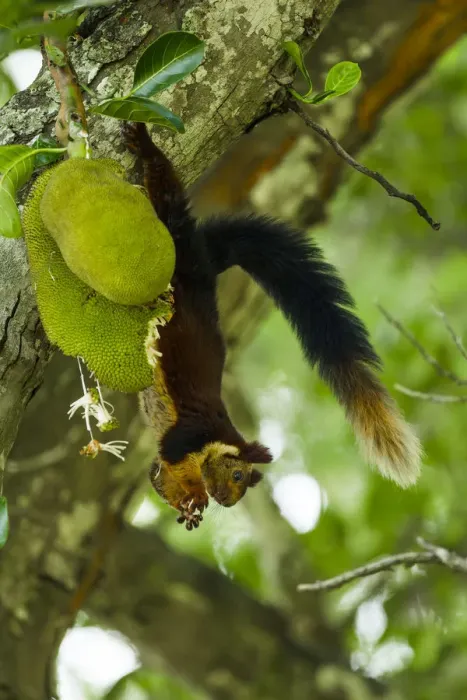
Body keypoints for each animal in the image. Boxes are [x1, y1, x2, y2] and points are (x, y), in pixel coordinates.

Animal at [123, 122, 421, 530]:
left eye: (245, 485)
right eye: (237, 474)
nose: (226, 502)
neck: (213, 446)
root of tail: (205, 264)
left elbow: (160, 475)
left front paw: (188, 505)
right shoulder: (187, 437)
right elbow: (168, 460)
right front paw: (196, 497)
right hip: (179, 252)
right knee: (171, 205)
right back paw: (146, 146)